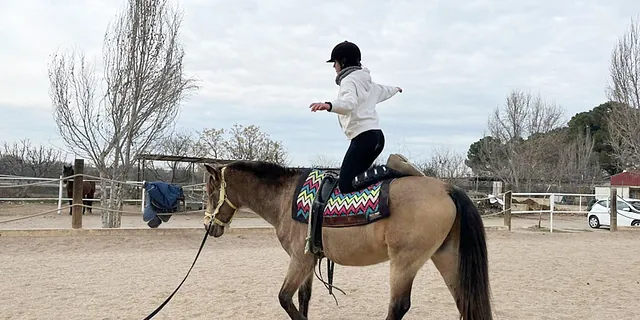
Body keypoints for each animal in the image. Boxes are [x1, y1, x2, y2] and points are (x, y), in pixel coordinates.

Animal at [202, 154, 492, 318]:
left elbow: (285, 299)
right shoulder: (309, 260)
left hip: (405, 262)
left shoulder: (299, 260)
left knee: (398, 306)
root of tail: (447, 188)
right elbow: (303, 299)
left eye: (210, 191)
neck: (286, 197)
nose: (209, 227)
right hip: (446, 257)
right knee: (464, 301)